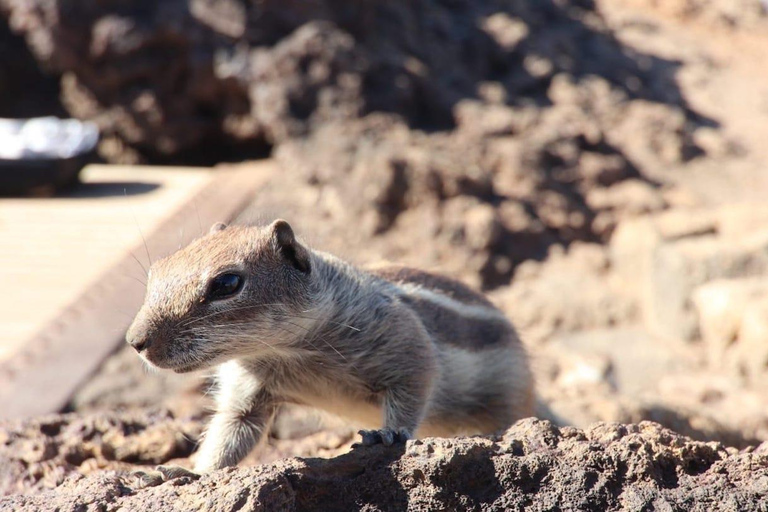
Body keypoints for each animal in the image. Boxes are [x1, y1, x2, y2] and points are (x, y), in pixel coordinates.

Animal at [126, 221, 536, 480]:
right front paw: (189, 471)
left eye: (227, 283)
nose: (135, 341)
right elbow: (230, 434)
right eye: (156, 269)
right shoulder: (248, 392)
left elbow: (413, 388)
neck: (287, 350)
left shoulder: (407, 346)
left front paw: (388, 434)